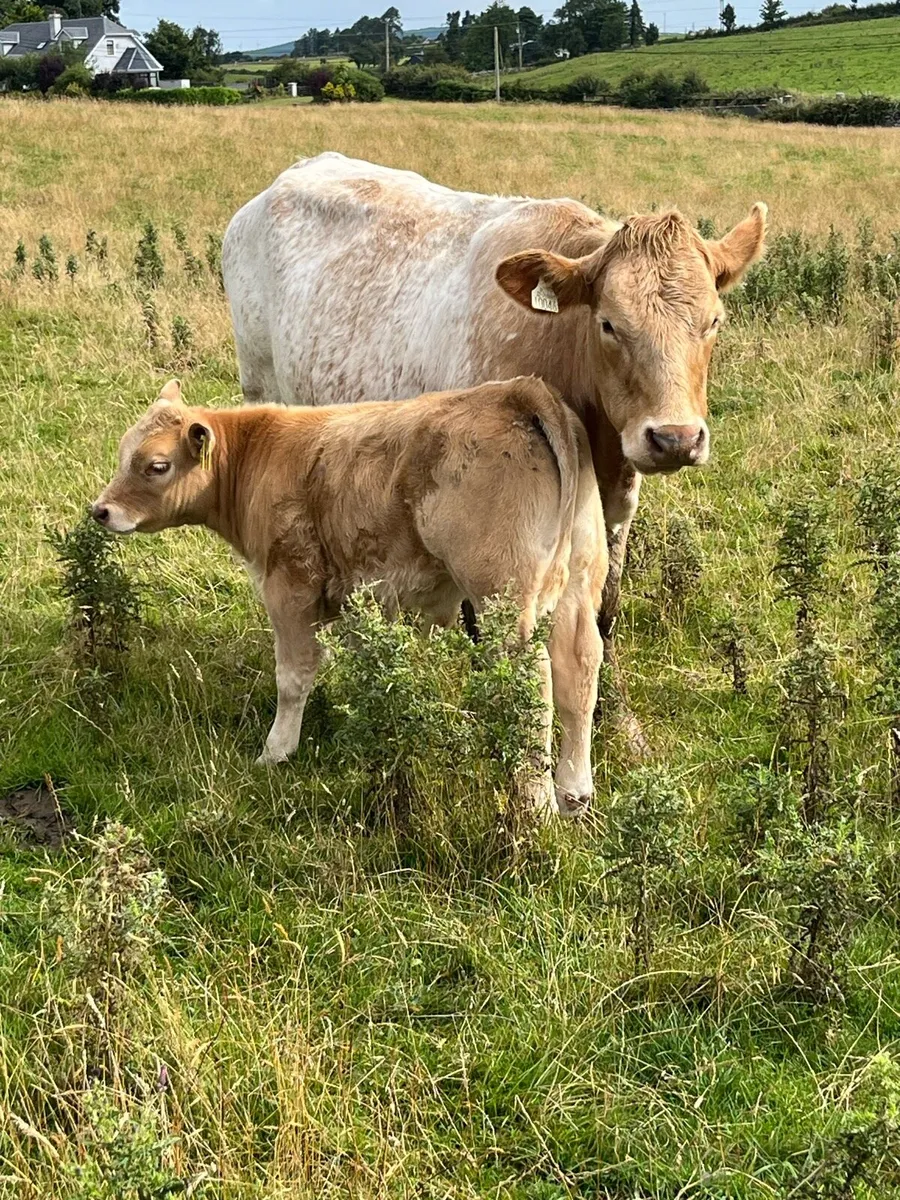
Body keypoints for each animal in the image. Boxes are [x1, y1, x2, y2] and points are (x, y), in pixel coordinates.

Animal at [91, 377, 607, 818]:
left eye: (157, 466)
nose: (101, 510)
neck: (260, 453)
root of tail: (518, 391)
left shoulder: (290, 584)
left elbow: (293, 676)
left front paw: (277, 751)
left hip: (502, 594)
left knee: (535, 683)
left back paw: (535, 803)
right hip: (579, 582)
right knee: (578, 668)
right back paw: (574, 792)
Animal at [221, 152, 768, 748]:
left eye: (713, 322)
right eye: (608, 324)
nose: (675, 439)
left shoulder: (617, 503)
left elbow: (605, 612)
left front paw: (621, 725)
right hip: (262, 388)